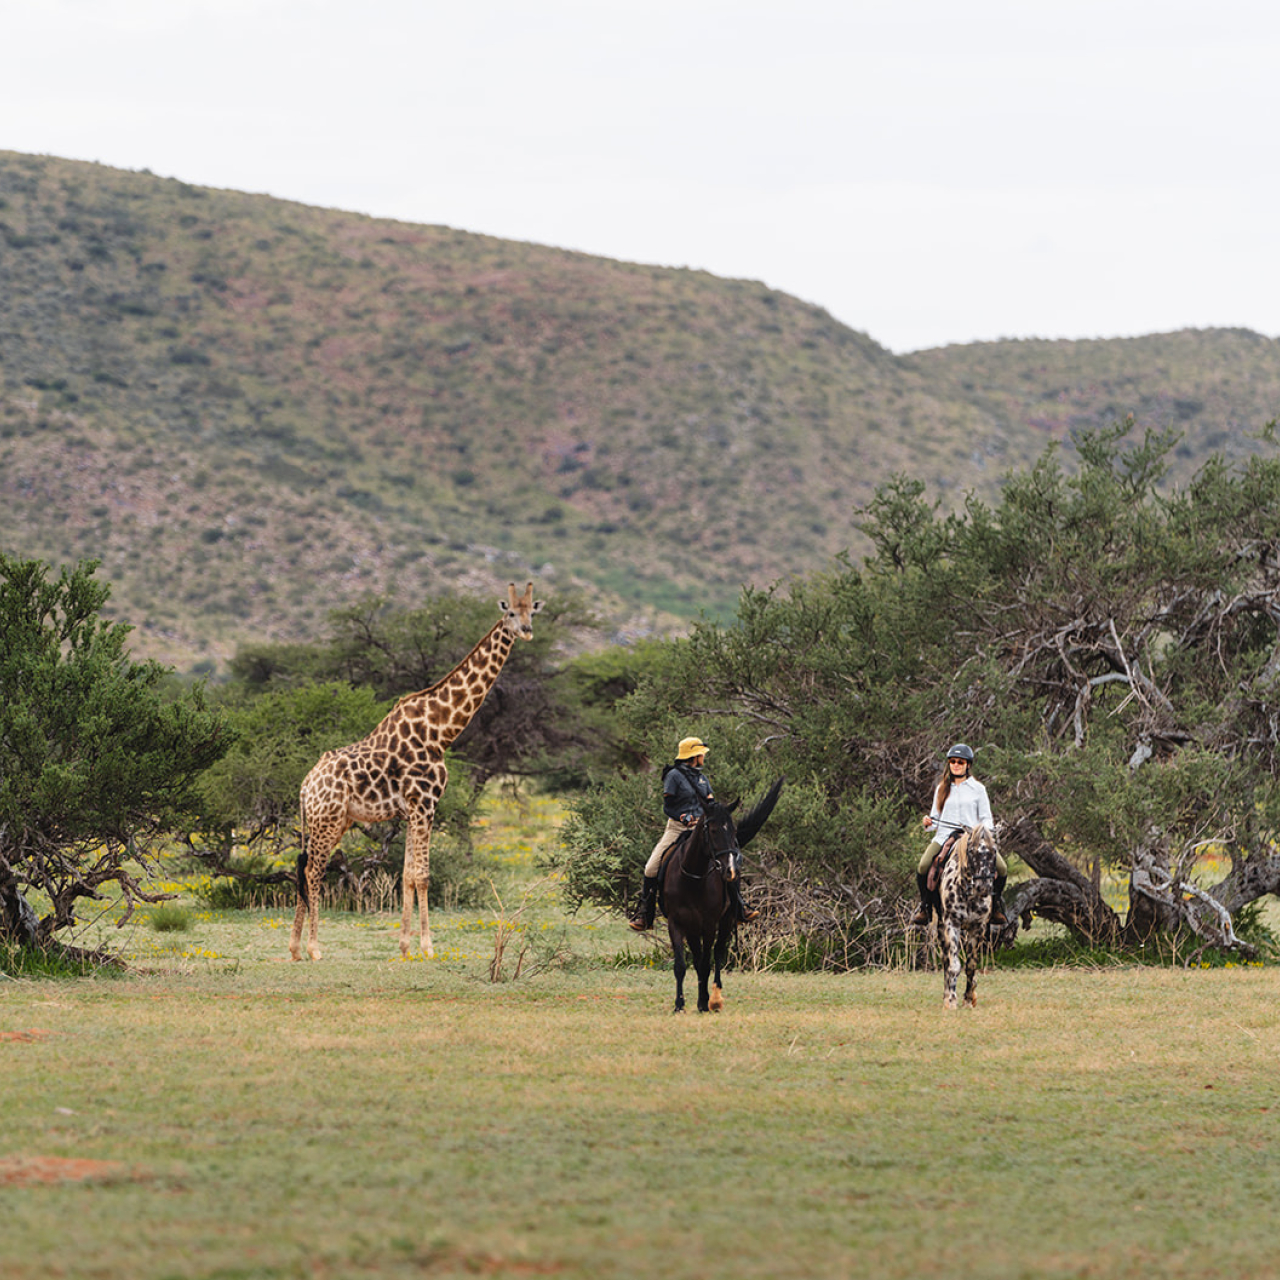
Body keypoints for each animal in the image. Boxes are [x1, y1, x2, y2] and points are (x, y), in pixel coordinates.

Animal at [659, 778, 783, 1014]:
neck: (693, 877)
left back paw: (715, 999)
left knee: (717, 953)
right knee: (699, 958)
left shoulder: (709, 923)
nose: (730, 870)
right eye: (714, 830)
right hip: (693, 928)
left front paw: (704, 1002)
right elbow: (682, 965)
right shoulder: (676, 923)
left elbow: (707, 962)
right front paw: (679, 1004)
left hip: (725, 921)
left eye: (733, 831)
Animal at [936, 822, 1000, 1009]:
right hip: (941, 928)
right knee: (946, 960)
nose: (983, 886)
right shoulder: (952, 924)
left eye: (994, 851)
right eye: (972, 851)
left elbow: (971, 965)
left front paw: (969, 998)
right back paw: (946, 995)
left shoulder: (977, 927)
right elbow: (954, 965)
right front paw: (951, 1000)